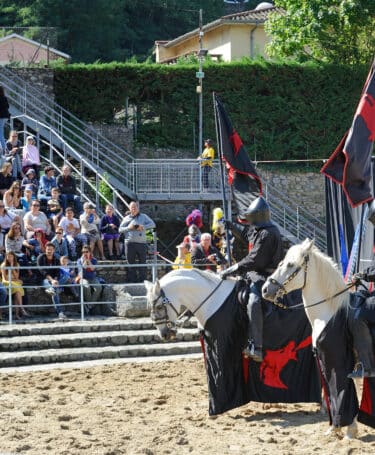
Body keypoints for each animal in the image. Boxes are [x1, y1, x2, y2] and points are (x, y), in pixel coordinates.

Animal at [262, 240, 362, 440]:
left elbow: (340, 389)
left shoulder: (336, 364)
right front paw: (335, 428)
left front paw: (348, 430)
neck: (328, 312)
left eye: (290, 264)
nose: (265, 289)